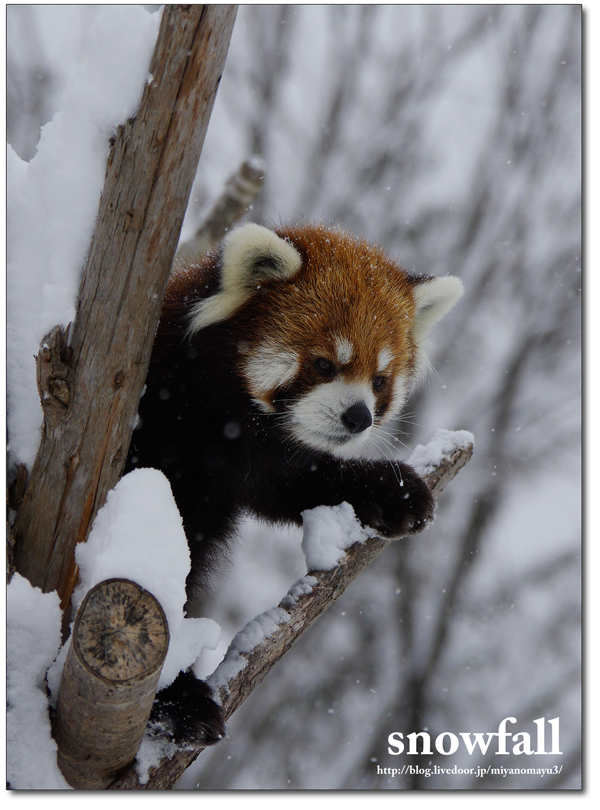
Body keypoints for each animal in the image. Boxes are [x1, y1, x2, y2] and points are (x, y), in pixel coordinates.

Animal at [126, 223, 464, 744]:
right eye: (325, 364)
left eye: (380, 380)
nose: (359, 416)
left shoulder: (250, 461)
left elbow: (291, 482)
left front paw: (393, 490)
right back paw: (179, 699)